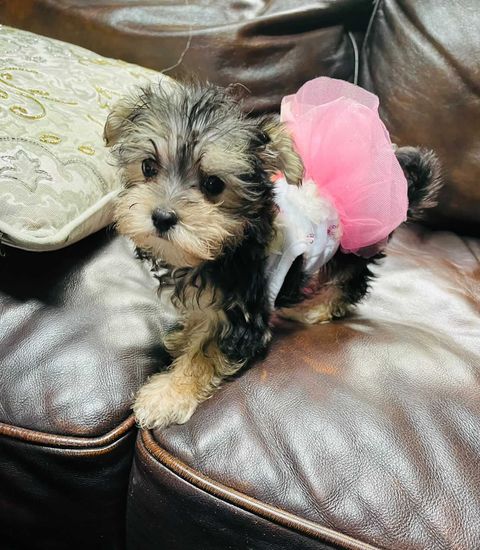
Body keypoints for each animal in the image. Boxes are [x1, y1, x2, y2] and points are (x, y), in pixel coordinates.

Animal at [103, 80, 440, 432]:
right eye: (148, 167)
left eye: (213, 184)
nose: (162, 217)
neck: (226, 244)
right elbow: (202, 319)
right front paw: (185, 335)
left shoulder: (243, 314)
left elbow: (206, 351)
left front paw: (168, 394)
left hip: (350, 250)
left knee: (350, 283)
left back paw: (313, 308)